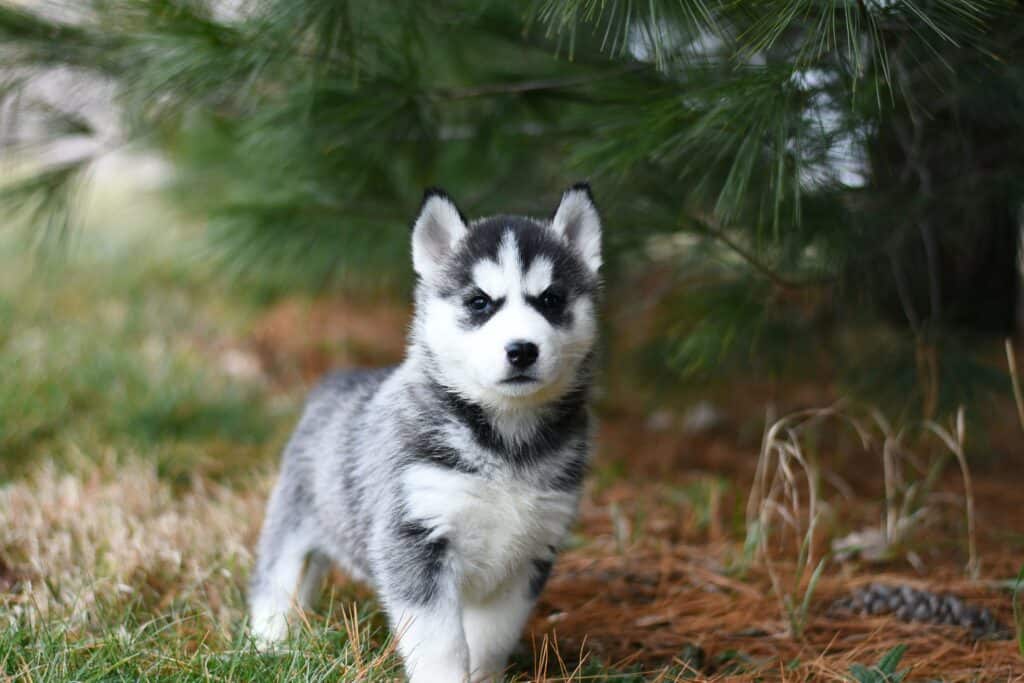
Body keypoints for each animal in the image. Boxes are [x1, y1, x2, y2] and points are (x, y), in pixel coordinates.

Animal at [247, 184, 598, 679]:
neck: (506, 441)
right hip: (293, 521)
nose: (522, 350)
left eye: (550, 300)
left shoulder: (529, 555)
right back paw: (270, 645)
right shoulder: (414, 540)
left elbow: (491, 638)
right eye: (479, 302)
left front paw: (483, 676)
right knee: (274, 581)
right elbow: (441, 643)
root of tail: (339, 378)